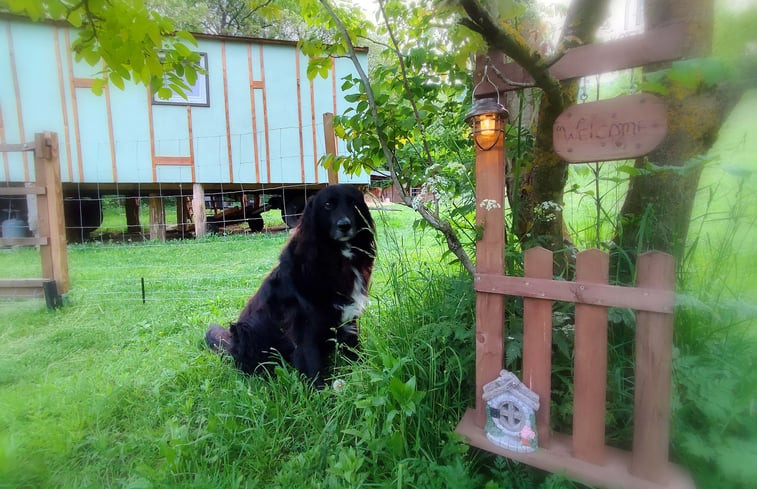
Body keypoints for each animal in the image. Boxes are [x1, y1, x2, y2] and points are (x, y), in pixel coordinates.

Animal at [205, 185, 374, 384]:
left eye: (353, 203)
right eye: (327, 205)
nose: (344, 225)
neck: (335, 257)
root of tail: (231, 347)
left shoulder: (348, 319)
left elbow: (356, 354)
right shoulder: (304, 328)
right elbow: (311, 364)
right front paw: (320, 391)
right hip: (245, 331)